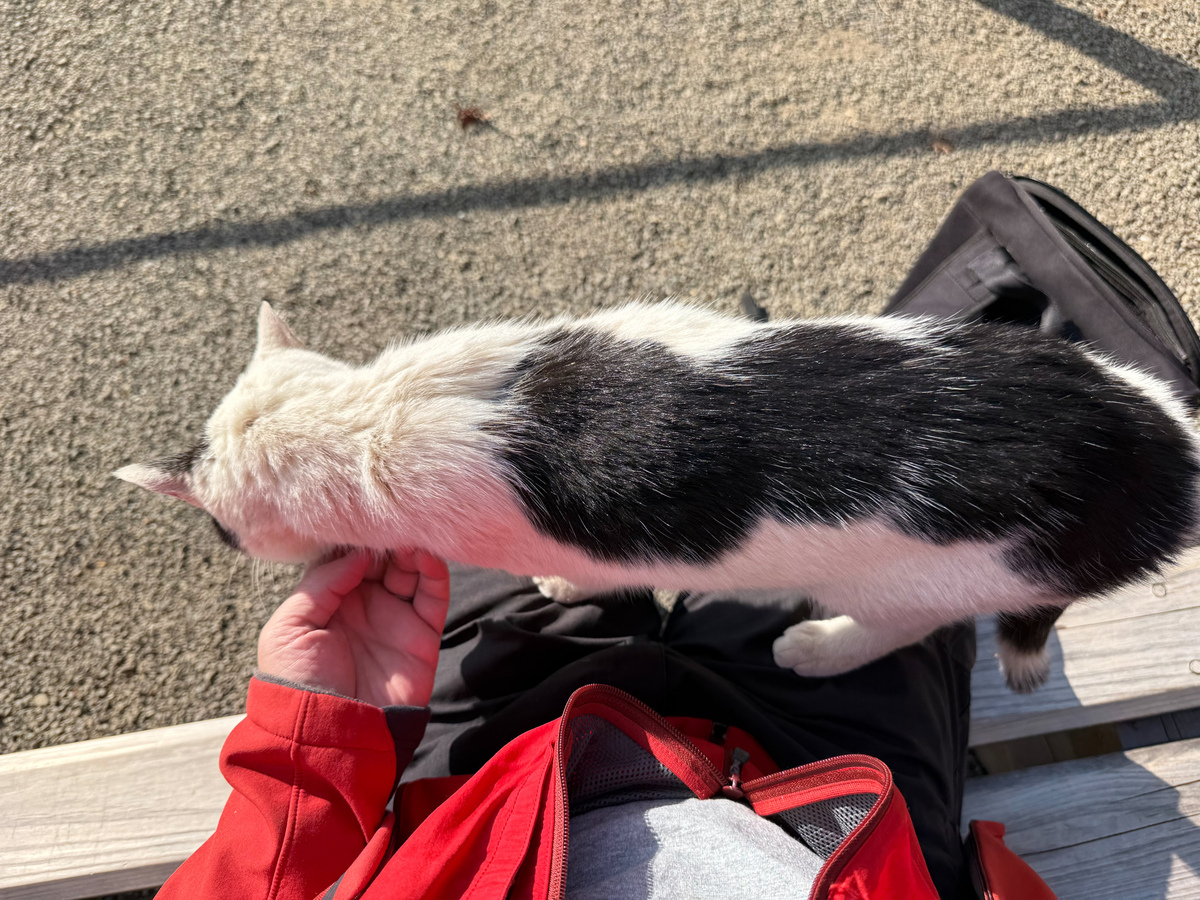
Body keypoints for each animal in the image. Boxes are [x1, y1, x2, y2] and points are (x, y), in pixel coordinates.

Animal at [116, 301, 1200, 693]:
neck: (370, 412)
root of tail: (1165, 467)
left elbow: (572, 571)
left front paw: (559, 590)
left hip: (927, 580)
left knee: (901, 628)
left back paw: (813, 648)